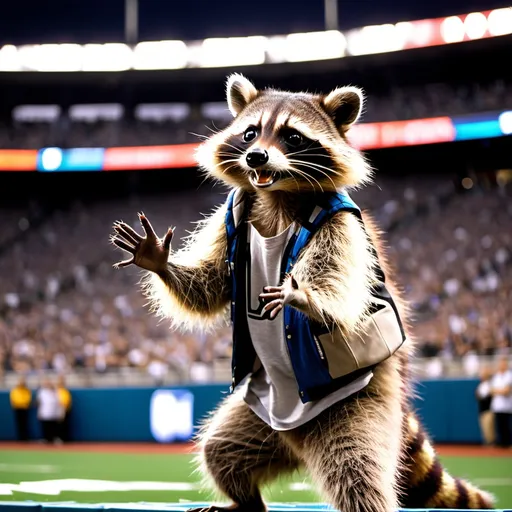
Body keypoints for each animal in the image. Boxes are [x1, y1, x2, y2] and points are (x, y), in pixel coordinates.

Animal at [111, 73, 496, 512]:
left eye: (292, 136)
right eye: (250, 133)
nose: (256, 158)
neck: (278, 193)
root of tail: (297, 441)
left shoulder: (340, 226)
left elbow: (336, 282)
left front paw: (303, 297)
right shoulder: (234, 214)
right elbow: (210, 285)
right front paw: (160, 262)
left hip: (360, 405)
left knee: (357, 473)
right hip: (259, 423)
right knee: (222, 450)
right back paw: (246, 501)